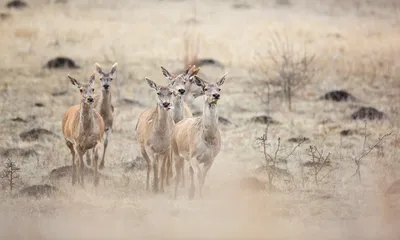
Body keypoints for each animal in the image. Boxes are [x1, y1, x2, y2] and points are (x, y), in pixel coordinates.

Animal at [171, 72, 228, 200]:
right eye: (205, 88)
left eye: (219, 88)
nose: (216, 95)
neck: (208, 138)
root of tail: (178, 123)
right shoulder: (193, 156)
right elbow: (199, 175)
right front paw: (200, 197)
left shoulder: (211, 158)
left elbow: (202, 177)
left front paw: (200, 197)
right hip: (176, 151)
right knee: (178, 175)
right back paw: (175, 196)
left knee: (190, 172)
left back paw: (190, 193)